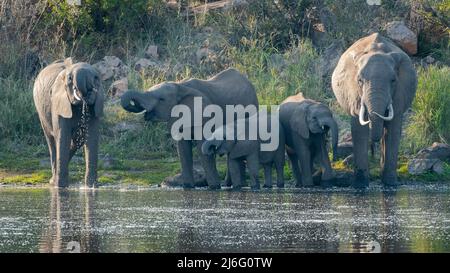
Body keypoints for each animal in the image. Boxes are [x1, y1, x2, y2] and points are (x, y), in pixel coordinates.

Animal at [33, 56, 104, 186]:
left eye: (96, 78)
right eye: (70, 78)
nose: (86, 94)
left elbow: (91, 137)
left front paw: (91, 186)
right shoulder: (58, 103)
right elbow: (63, 137)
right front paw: (60, 186)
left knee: (75, 141)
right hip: (41, 112)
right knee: (51, 141)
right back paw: (53, 180)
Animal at [121, 68, 258, 188]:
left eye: (161, 99)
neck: (180, 86)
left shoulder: (205, 116)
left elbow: (202, 148)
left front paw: (214, 187)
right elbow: (183, 150)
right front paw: (188, 187)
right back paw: (231, 185)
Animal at [330, 33, 418, 187]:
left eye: (393, 81)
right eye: (359, 81)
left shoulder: (400, 93)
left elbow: (393, 129)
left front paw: (390, 184)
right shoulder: (354, 94)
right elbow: (359, 129)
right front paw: (360, 185)